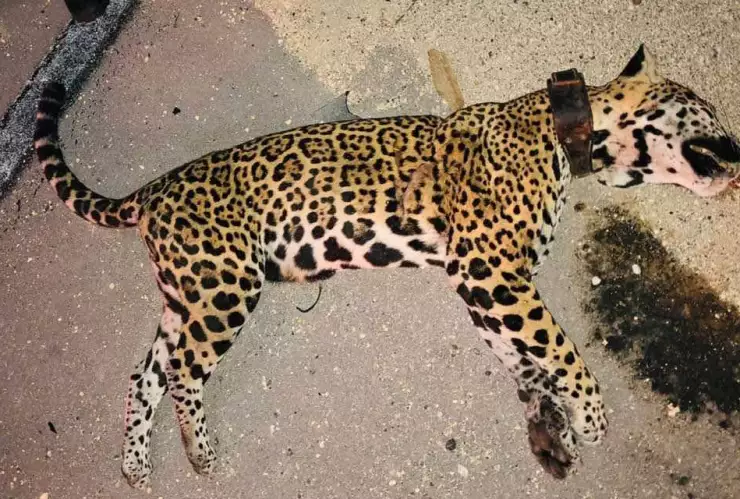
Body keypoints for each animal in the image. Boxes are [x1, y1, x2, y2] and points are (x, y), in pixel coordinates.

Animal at [33, 45, 739, 489]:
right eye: (708, 110)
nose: (739, 150)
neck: (569, 132)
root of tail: (152, 191)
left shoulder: (481, 287)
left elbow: (526, 359)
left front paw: (549, 421)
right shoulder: (491, 272)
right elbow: (560, 350)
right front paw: (591, 419)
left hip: (186, 296)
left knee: (144, 375)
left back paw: (136, 467)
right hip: (224, 288)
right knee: (182, 373)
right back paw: (200, 453)